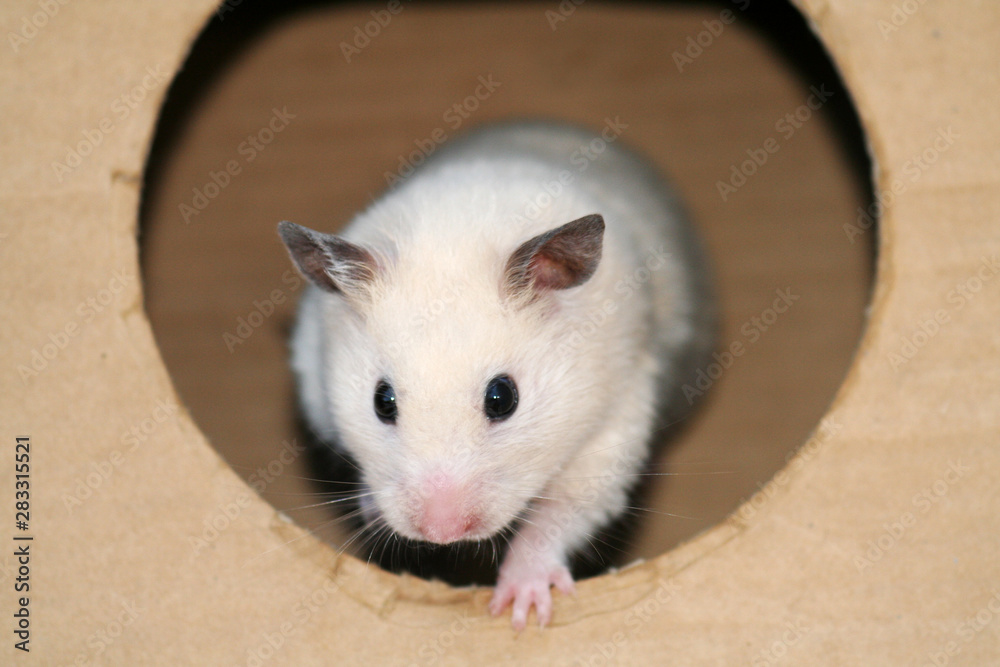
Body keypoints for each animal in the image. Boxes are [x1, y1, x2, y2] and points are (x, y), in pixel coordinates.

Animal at [278, 121, 714, 630]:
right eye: (381, 401)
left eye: (502, 398)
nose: (442, 534)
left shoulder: (615, 420)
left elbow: (564, 511)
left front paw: (520, 609)